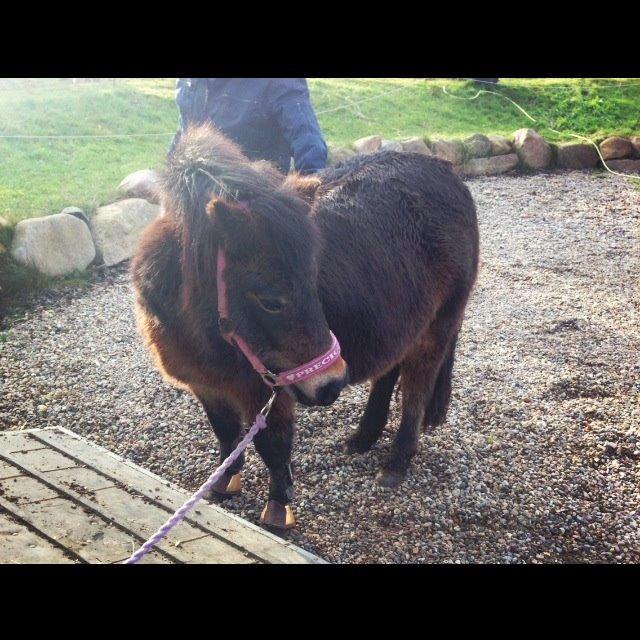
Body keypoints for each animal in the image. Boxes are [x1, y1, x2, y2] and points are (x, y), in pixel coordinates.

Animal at [132, 125, 478, 528]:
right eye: (271, 300)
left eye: (313, 283)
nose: (333, 383)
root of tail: (446, 172)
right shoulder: (206, 387)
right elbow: (225, 433)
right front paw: (224, 482)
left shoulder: (269, 391)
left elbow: (273, 446)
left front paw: (278, 510)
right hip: (402, 324)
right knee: (389, 374)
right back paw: (362, 438)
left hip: (437, 329)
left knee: (416, 392)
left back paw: (395, 463)